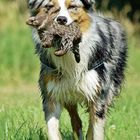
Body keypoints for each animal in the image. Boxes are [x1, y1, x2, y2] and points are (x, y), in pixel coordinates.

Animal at [27, 0, 127, 139]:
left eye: (73, 6)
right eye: (49, 6)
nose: (61, 20)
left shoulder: (98, 94)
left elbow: (96, 128)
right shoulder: (52, 93)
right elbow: (52, 128)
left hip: (110, 88)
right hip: (68, 94)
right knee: (76, 119)